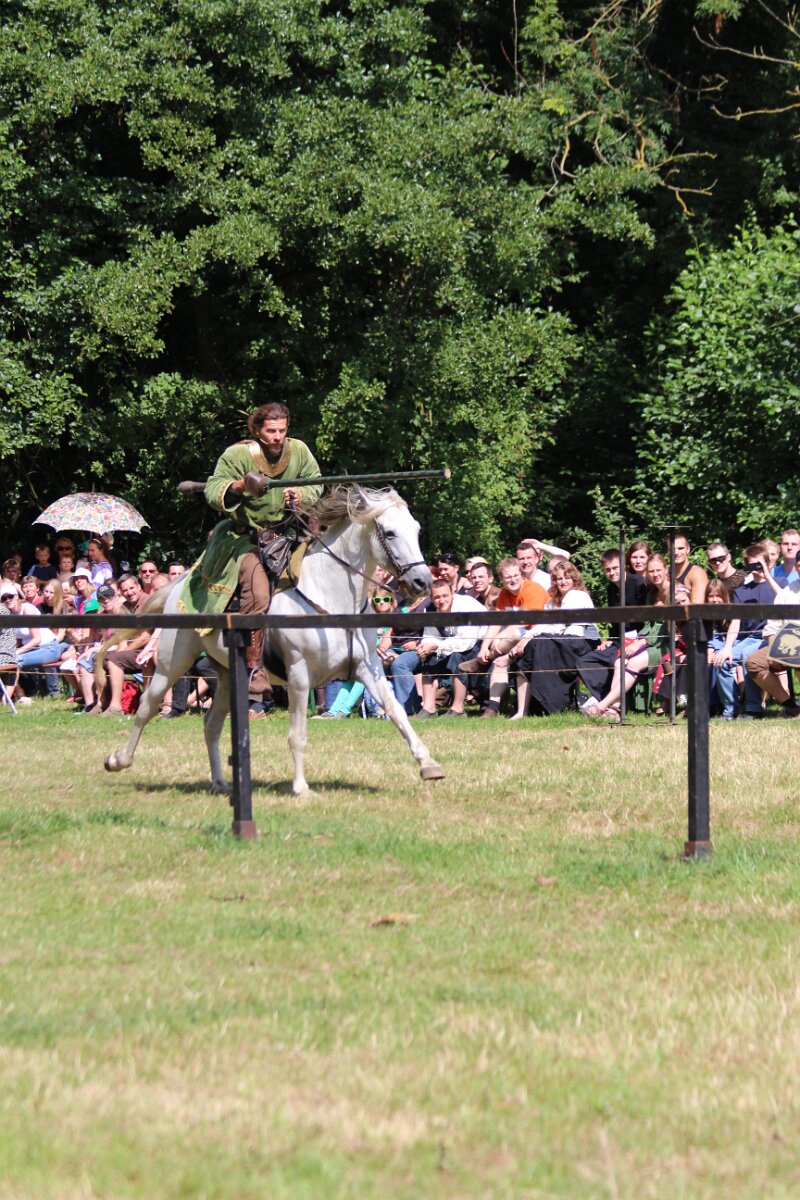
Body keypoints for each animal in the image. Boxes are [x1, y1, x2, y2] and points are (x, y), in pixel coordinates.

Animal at [103, 486, 446, 795]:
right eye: (389, 533)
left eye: (415, 530)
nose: (422, 582)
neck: (330, 596)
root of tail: (181, 583)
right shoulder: (299, 675)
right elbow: (298, 734)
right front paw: (300, 787)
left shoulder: (367, 668)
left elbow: (397, 711)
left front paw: (429, 765)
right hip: (172, 662)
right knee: (147, 707)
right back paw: (118, 760)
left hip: (227, 675)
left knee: (211, 724)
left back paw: (219, 783)